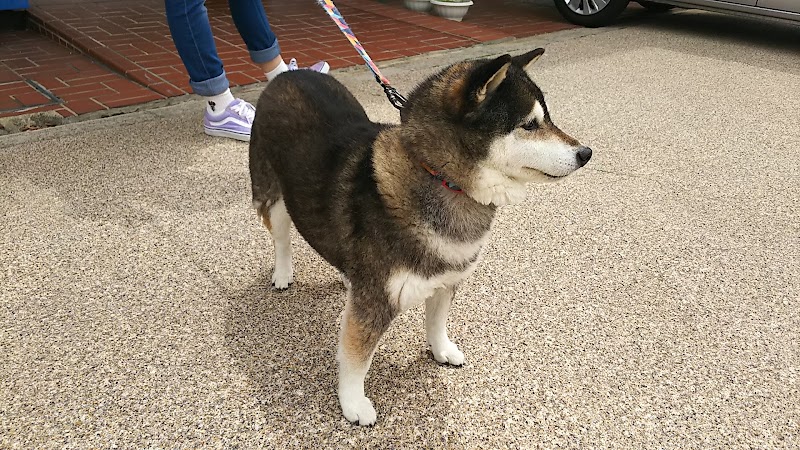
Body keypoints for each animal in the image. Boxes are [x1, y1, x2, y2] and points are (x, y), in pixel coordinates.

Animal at [247, 49, 592, 426]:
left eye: (547, 118)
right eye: (529, 124)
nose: (586, 153)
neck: (441, 179)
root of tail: (287, 75)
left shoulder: (448, 279)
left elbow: (437, 322)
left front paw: (441, 350)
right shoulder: (375, 301)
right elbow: (356, 359)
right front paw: (353, 402)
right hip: (273, 194)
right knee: (281, 237)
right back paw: (283, 273)